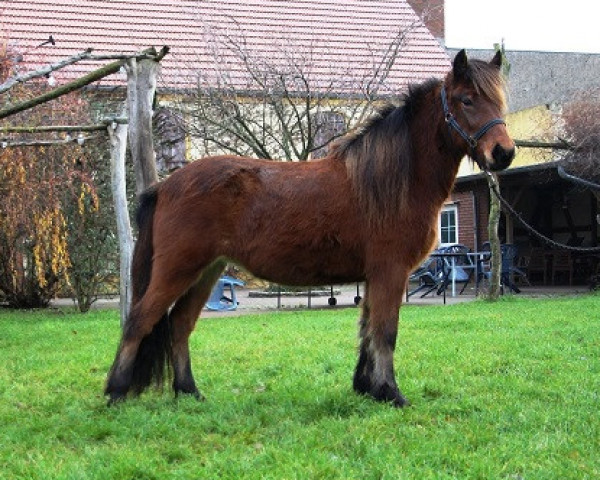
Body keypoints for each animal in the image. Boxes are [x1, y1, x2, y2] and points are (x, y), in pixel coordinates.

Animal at [104, 50, 516, 406]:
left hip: (206, 272)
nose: (504, 153)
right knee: (139, 321)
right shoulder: (390, 271)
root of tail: (164, 186)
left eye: (499, 102)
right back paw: (116, 393)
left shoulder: (375, 276)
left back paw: (190, 393)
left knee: (179, 325)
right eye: (466, 100)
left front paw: (366, 387)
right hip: (178, 269)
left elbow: (367, 330)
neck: (390, 180)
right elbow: (385, 331)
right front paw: (391, 393)